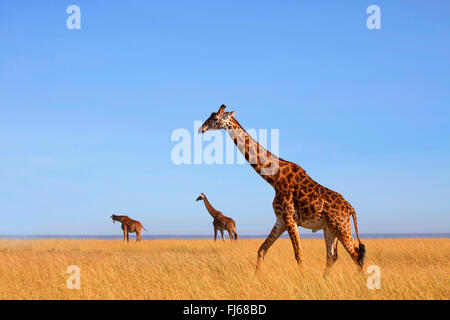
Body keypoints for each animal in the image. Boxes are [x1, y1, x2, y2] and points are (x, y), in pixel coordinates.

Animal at [200, 105, 366, 278]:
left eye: (216, 118)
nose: (202, 128)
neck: (275, 178)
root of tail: (350, 209)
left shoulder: (289, 218)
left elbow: (298, 254)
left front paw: (303, 279)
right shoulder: (280, 220)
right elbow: (262, 249)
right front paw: (255, 277)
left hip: (341, 226)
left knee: (356, 254)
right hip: (329, 228)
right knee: (332, 256)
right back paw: (324, 279)